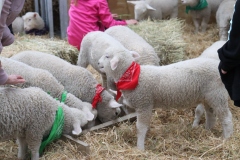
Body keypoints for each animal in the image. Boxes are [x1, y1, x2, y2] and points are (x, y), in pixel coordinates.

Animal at [97, 44, 232, 150]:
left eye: (107, 56)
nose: (98, 62)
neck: (132, 74)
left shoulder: (144, 104)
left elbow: (141, 127)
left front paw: (140, 147)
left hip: (218, 96)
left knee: (226, 118)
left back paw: (227, 138)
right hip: (208, 97)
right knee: (211, 115)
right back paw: (207, 131)